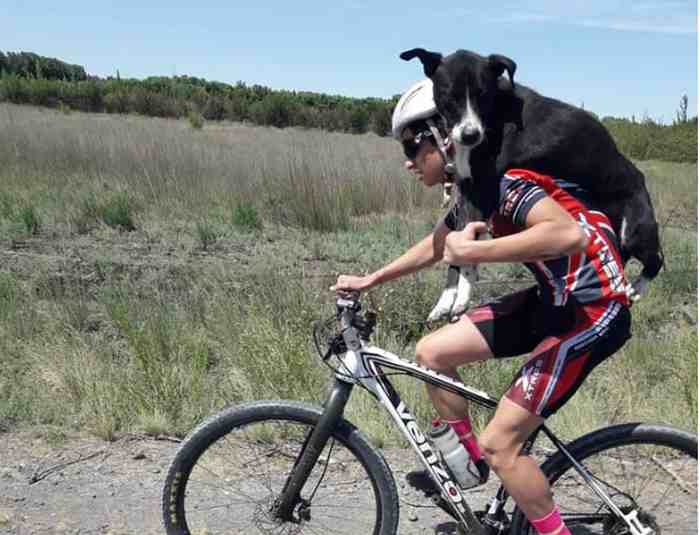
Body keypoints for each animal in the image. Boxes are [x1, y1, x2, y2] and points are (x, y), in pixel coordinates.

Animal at [400, 48, 660, 320]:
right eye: (449, 95)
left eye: (484, 95)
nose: (471, 135)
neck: (495, 114)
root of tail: (638, 175)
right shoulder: (468, 193)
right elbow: (456, 247)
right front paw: (447, 298)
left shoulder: (484, 191)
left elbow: (466, 250)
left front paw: (461, 298)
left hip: (635, 230)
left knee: (656, 260)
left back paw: (637, 287)